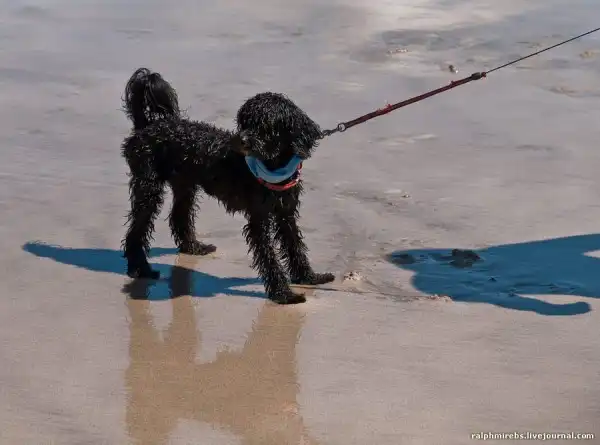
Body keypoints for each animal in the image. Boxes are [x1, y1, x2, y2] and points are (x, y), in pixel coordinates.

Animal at [120, 68, 335, 304]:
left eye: (265, 126)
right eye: (244, 122)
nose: (239, 140)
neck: (272, 167)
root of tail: (147, 126)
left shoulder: (285, 214)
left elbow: (295, 246)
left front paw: (309, 277)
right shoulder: (258, 220)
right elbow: (269, 257)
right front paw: (282, 293)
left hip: (184, 185)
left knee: (178, 216)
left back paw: (193, 247)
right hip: (148, 188)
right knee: (136, 232)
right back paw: (140, 269)